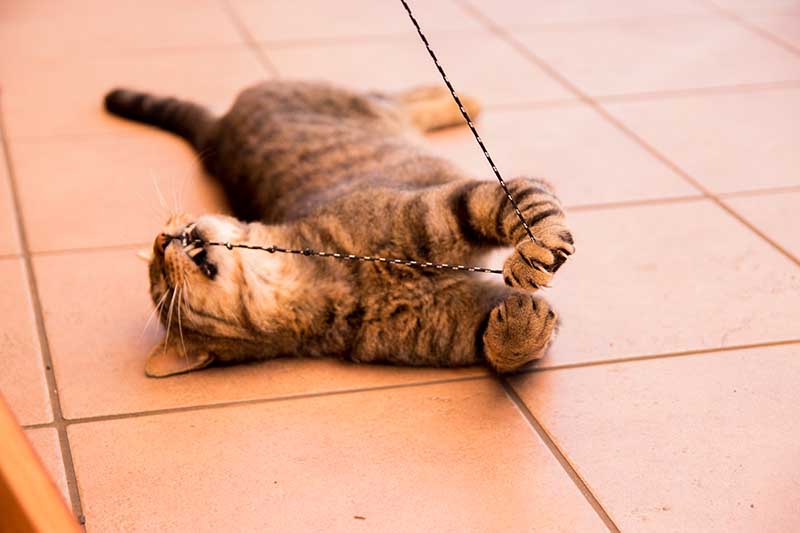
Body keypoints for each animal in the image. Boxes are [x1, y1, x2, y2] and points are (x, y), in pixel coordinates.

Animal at [103, 81, 576, 376]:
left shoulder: (455, 203)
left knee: (405, 96)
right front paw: (521, 324)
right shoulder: (460, 329)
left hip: (365, 103)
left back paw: (465, 100)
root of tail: (218, 127)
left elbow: (530, 208)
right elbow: (506, 349)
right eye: (163, 286)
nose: (162, 239)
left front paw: (536, 254)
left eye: (157, 264)